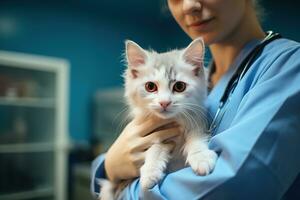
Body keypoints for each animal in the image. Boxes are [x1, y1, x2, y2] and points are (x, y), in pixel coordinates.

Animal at [99, 38, 217, 199]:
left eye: (179, 86)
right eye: (150, 86)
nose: (164, 102)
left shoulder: (197, 123)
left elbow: (196, 140)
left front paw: (201, 158)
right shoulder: (154, 135)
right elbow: (155, 148)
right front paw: (150, 173)